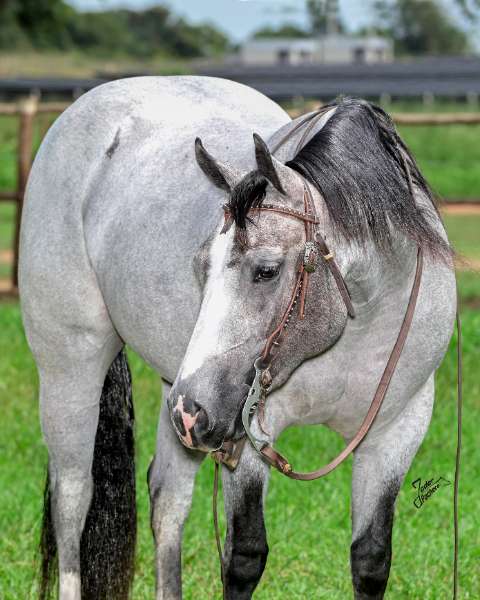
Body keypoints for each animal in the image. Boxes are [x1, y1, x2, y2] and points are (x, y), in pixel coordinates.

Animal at [18, 76, 456, 600]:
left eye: (265, 271)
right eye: (200, 265)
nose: (193, 410)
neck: (354, 328)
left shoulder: (396, 433)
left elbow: (370, 560)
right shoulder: (248, 436)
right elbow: (244, 556)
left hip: (176, 393)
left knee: (167, 500)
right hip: (75, 372)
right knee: (73, 500)